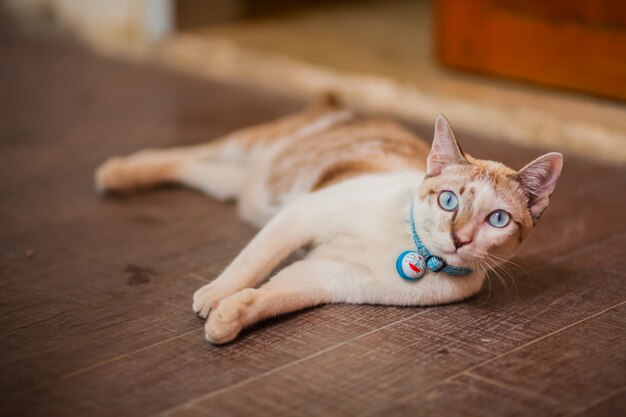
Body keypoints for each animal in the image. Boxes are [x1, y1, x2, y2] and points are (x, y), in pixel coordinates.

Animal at [96, 95, 560, 344]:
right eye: (448, 201)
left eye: (497, 219)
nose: (460, 238)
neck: (414, 250)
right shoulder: (301, 215)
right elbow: (251, 264)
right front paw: (215, 296)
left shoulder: (327, 277)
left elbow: (272, 296)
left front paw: (228, 319)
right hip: (247, 149)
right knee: (183, 153)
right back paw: (114, 174)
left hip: (230, 183)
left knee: (192, 167)